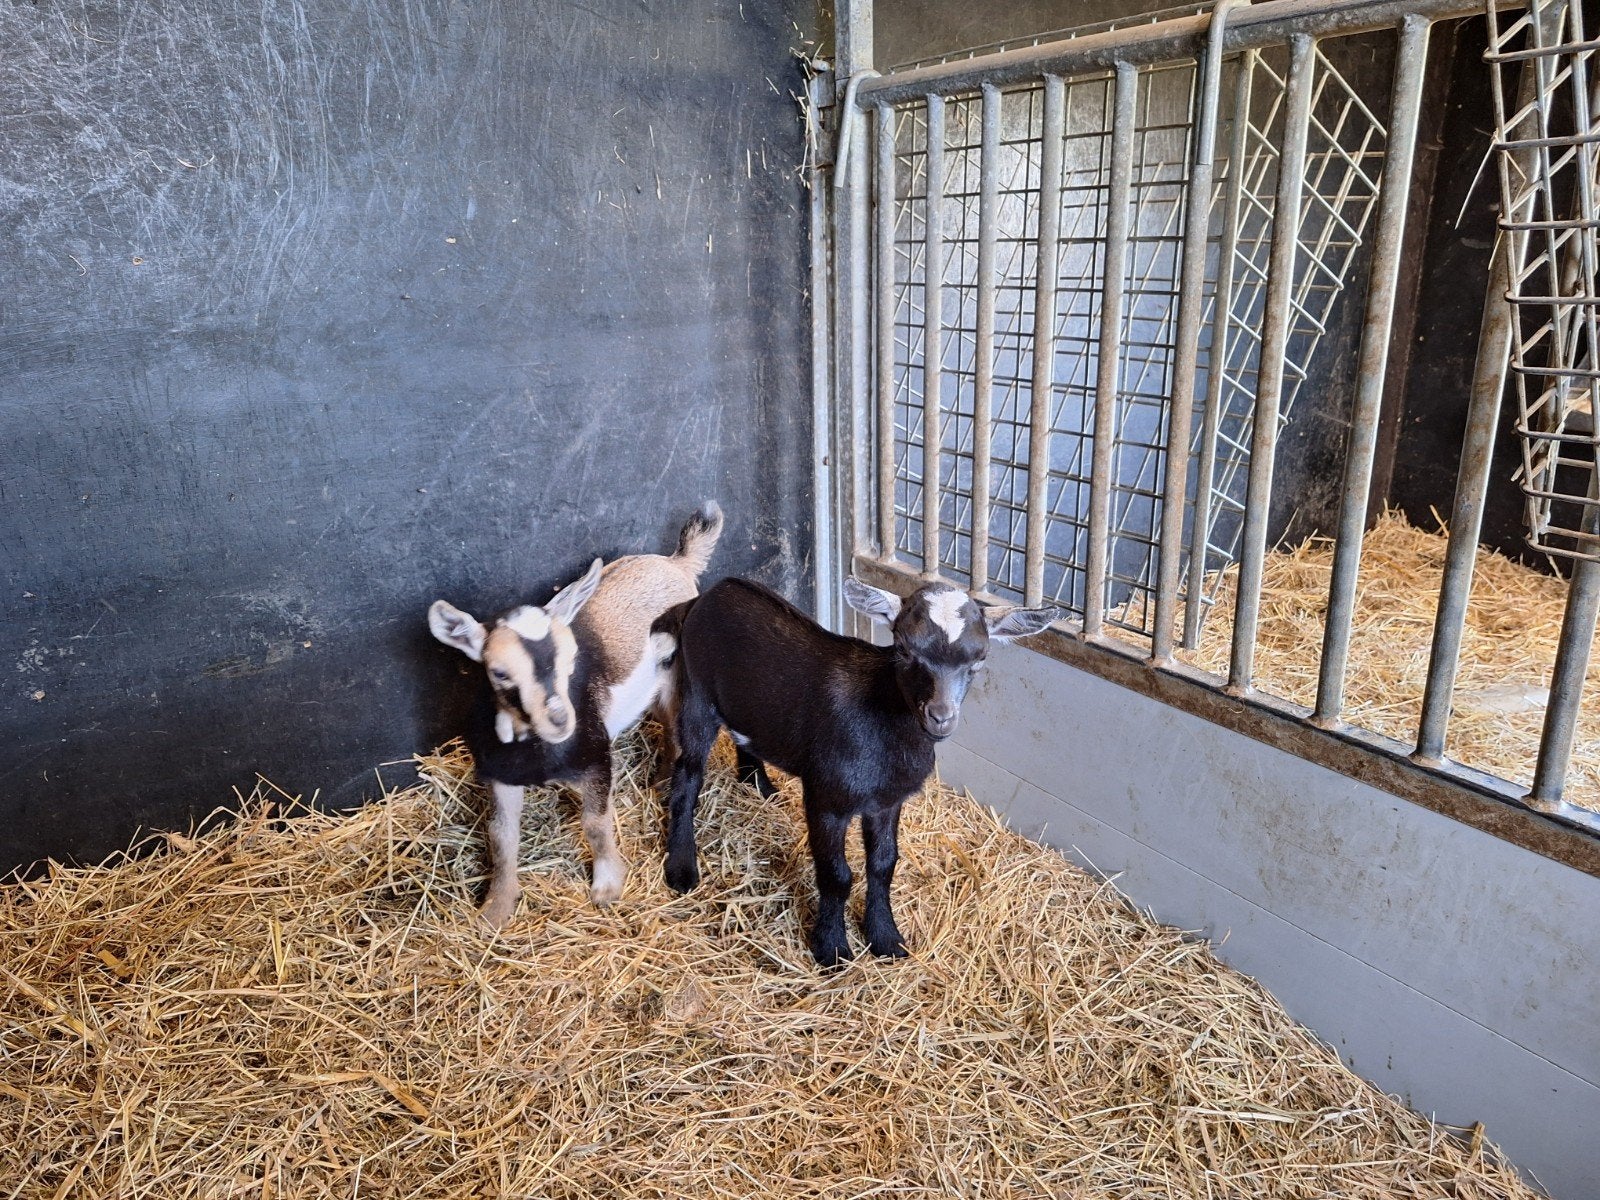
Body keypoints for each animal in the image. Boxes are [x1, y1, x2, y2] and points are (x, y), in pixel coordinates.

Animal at [428, 502, 723, 927]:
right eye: (499, 672)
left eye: (571, 658)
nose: (559, 721)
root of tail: (675, 562)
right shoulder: (500, 775)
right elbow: (501, 835)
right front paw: (495, 909)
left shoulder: (597, 760)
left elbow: (595, 823)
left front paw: (607, 886)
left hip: (675, 676)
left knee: (674, 728)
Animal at [660, 575, 1058, 966]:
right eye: (904, 649)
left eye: (979, 659)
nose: (940, 717)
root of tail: (713, 591)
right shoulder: (826, 799)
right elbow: (836, 874)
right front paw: (832, 948)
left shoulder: (887, 801)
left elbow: (883, 864)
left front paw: (886, 938)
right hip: (696, 692)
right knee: (688, 773)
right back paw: (682, 869)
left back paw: (759, 785)